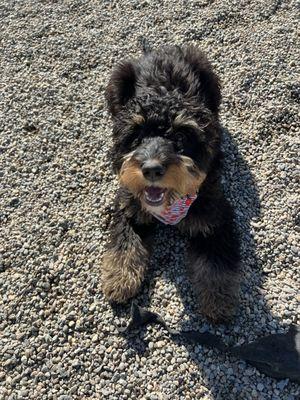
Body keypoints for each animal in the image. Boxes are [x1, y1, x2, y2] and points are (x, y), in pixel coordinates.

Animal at [102, 46, 240, 322]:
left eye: (180, 136)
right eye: (136, 136)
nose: (151, 169)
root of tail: (158, 51)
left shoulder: (214, 217)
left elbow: (216, 262)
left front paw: (219, 299)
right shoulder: (128, 206)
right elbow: (124, 241)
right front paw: (119, 278)